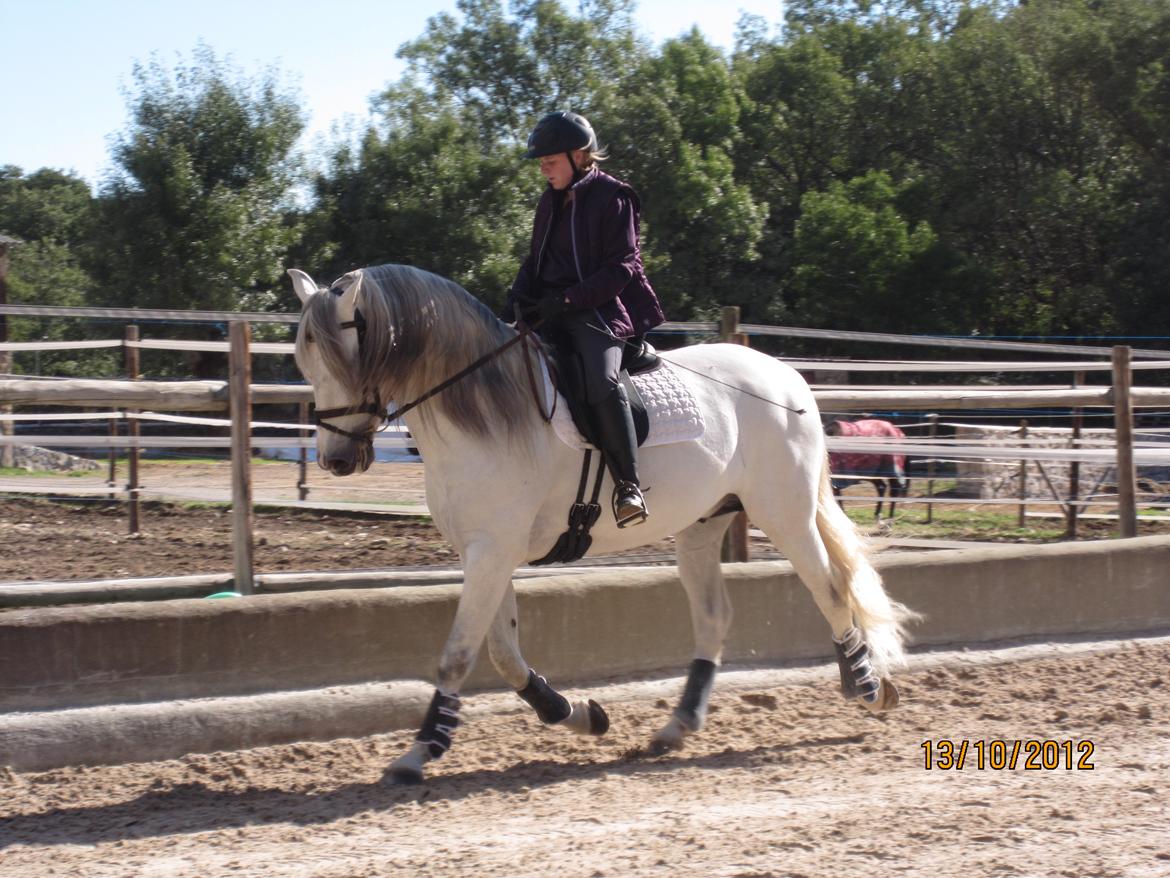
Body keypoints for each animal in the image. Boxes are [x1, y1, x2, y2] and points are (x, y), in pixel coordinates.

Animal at [287, 261, 917, 782]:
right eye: (304, 361)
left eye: (351, 356)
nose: (336, 460)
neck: (485, 410)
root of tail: (788, 378)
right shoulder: (486, 552)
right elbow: (503, 653)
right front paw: (578, 714)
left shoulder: (492, 551)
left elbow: (459, 653)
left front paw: (419, 752)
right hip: (703, 525)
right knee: (715, 616)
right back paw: (677, 726)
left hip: (783, 512)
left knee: (829, 588)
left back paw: (867, 687)